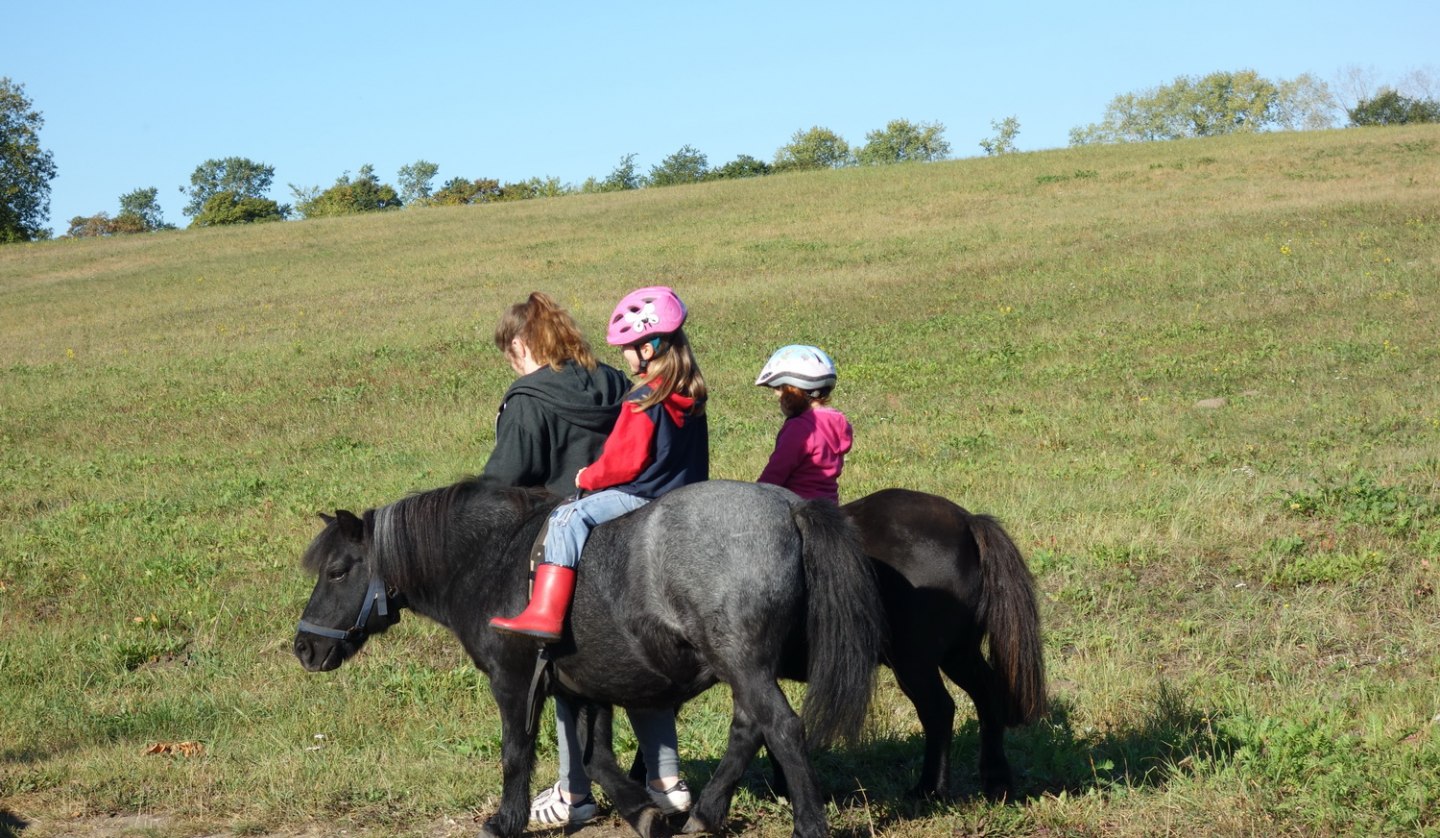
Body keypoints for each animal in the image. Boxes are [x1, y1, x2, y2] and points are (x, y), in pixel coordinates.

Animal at [289, 480, 887, 838]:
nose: (304, 647)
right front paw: (646, 812)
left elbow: (516, 753)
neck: (494, 557)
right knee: (749, 728)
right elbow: (595, 757)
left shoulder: (513, 682)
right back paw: (705, 813)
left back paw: (807, 825)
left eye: (337, 571)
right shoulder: (583, 686)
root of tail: (789, 507)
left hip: (743, 662)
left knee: (782, 727)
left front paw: (504, 821)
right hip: (742, 667)